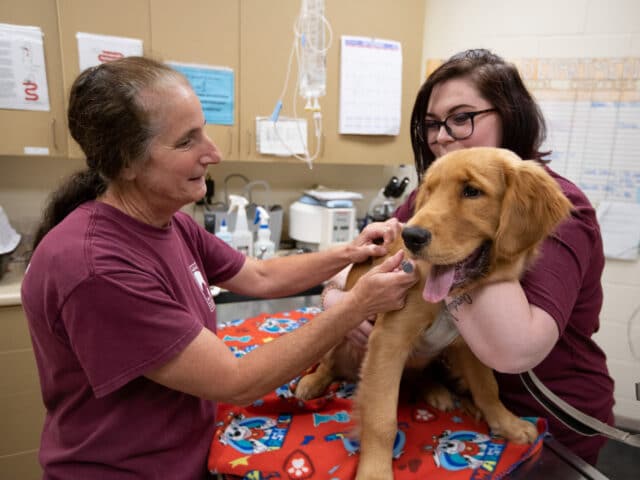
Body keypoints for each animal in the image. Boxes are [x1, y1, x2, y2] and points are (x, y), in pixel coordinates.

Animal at [294, 146, 568, 480]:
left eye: (472, 191)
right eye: (430, 191)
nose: (411, 236)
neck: (448, 299)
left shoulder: (469, 345)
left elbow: (487, 388)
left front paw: (507, 423)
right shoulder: (389, 338)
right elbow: (381, 419)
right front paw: (375, 471)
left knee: (418, 375)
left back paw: (439, 391)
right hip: (341, 328)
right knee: (329, 361)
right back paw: (312, 383)